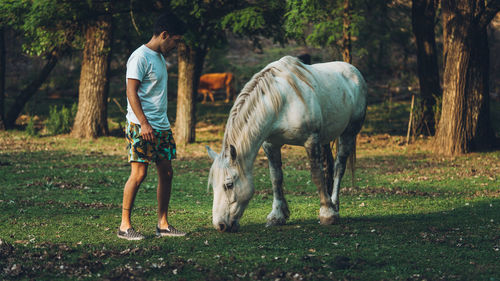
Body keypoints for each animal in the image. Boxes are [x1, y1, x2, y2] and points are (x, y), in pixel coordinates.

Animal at [205, 55, 366, 232]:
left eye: (229, 185)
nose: (220, 225)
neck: (280, 102)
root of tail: (353, 70)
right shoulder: (271, 145)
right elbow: (276, 178)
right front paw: (277, 216)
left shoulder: (311, 141)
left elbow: (316, 175)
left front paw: (327, 214)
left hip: (349, 133)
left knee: (339, 167)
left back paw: (334, 206)